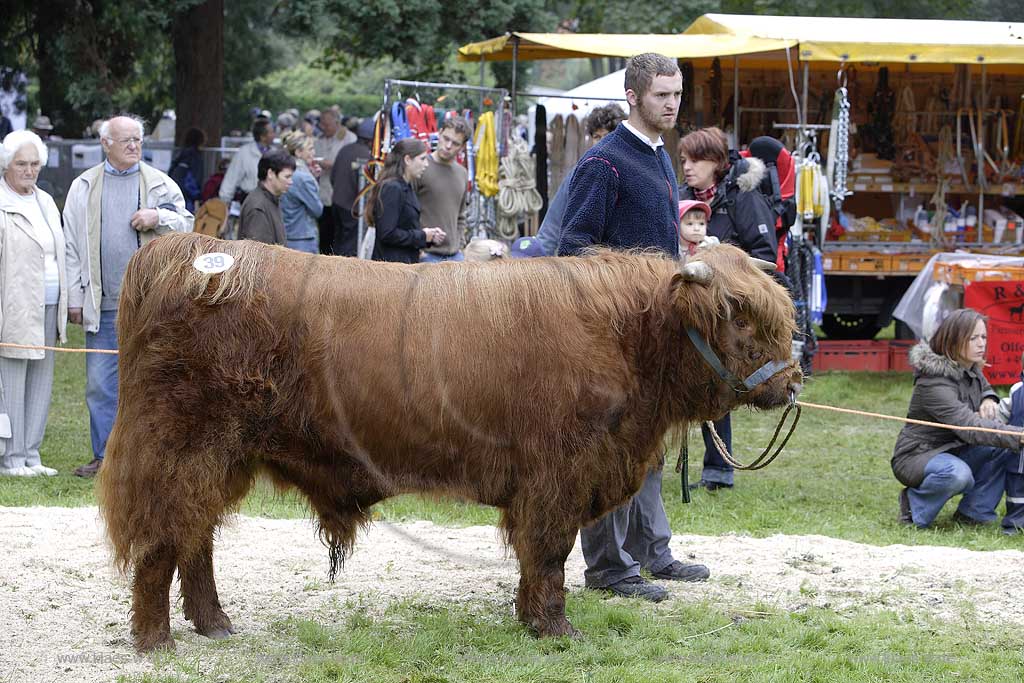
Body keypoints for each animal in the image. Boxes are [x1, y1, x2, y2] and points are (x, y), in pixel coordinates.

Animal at [97, 233, 798, 651]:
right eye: (739, 314)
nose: (792, 382)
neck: (630, 335)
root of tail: (189, 250)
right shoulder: (559, 475)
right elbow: (550, 553)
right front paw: (556, 629)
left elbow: (536, 559)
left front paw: (529, 620)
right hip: (178, 448)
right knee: (163, 538)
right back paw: (156, 639)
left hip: (223, 457)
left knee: (195, 537)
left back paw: (214, 624)